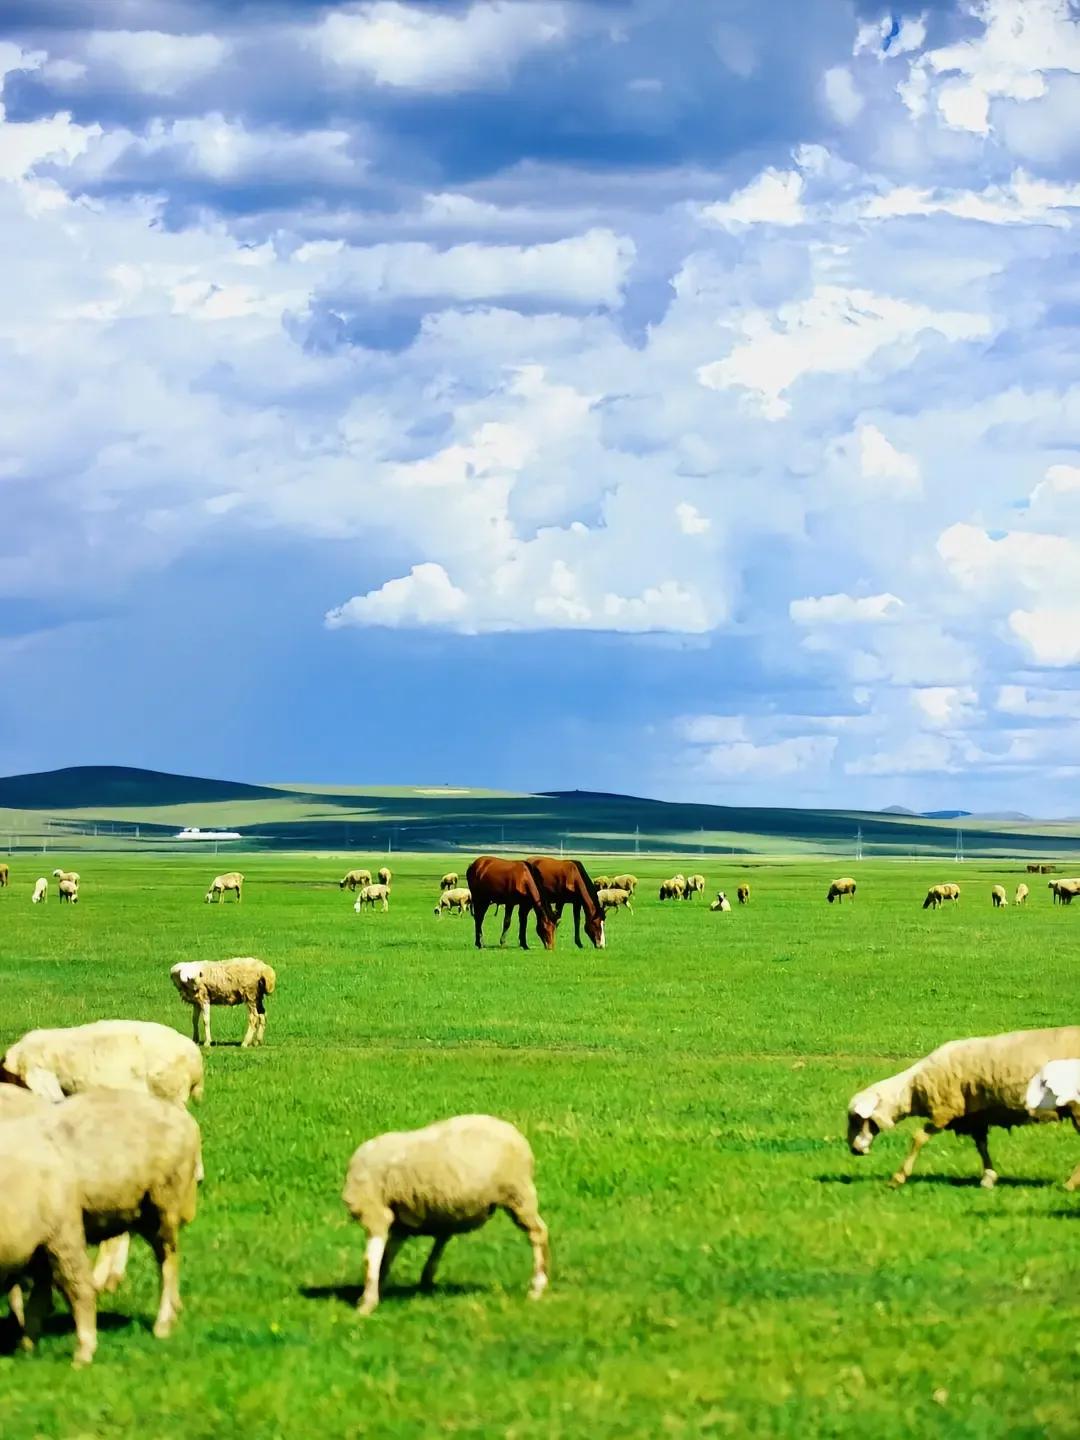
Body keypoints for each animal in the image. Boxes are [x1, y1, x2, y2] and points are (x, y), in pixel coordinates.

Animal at [0, 1117, 97, 1365]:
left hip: (62, 1234)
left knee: (80, 1285)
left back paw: (84, 1351)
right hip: (38, 1248)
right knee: (42, 1292)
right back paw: (26, 1346)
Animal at [344, 1111, 552, 1319]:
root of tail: (518, 1138)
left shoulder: (374, 1209)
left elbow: (370, 1259)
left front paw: (367, 1303)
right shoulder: (399, 1220)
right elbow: (386, 1257)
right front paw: (377, 1290)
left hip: (517, 1193)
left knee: (538, 1233)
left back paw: (537, 1288)